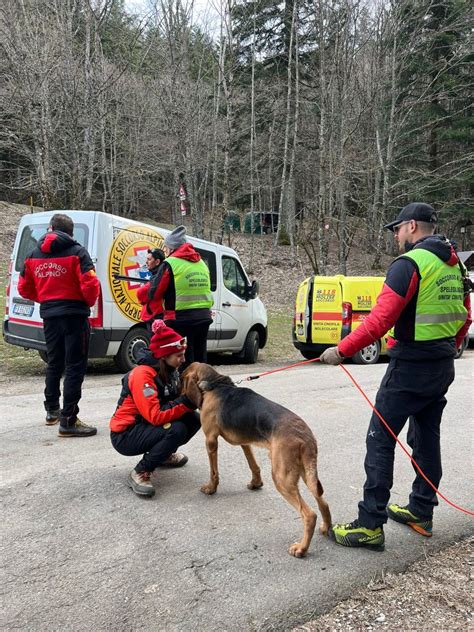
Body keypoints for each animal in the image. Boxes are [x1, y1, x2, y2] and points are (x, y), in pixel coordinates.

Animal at [181, 360, 334, 556]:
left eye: (180, 378)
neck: (215, 385)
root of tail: (304, 436)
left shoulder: (210, 440)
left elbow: (214, 472)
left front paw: (210, 488)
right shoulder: (245, 442)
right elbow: (253, 464)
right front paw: (256, 483)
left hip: (282, 478)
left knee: (309, 514)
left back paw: (301, 548)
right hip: (306, 473)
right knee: (323, 502)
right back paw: (326, 527)